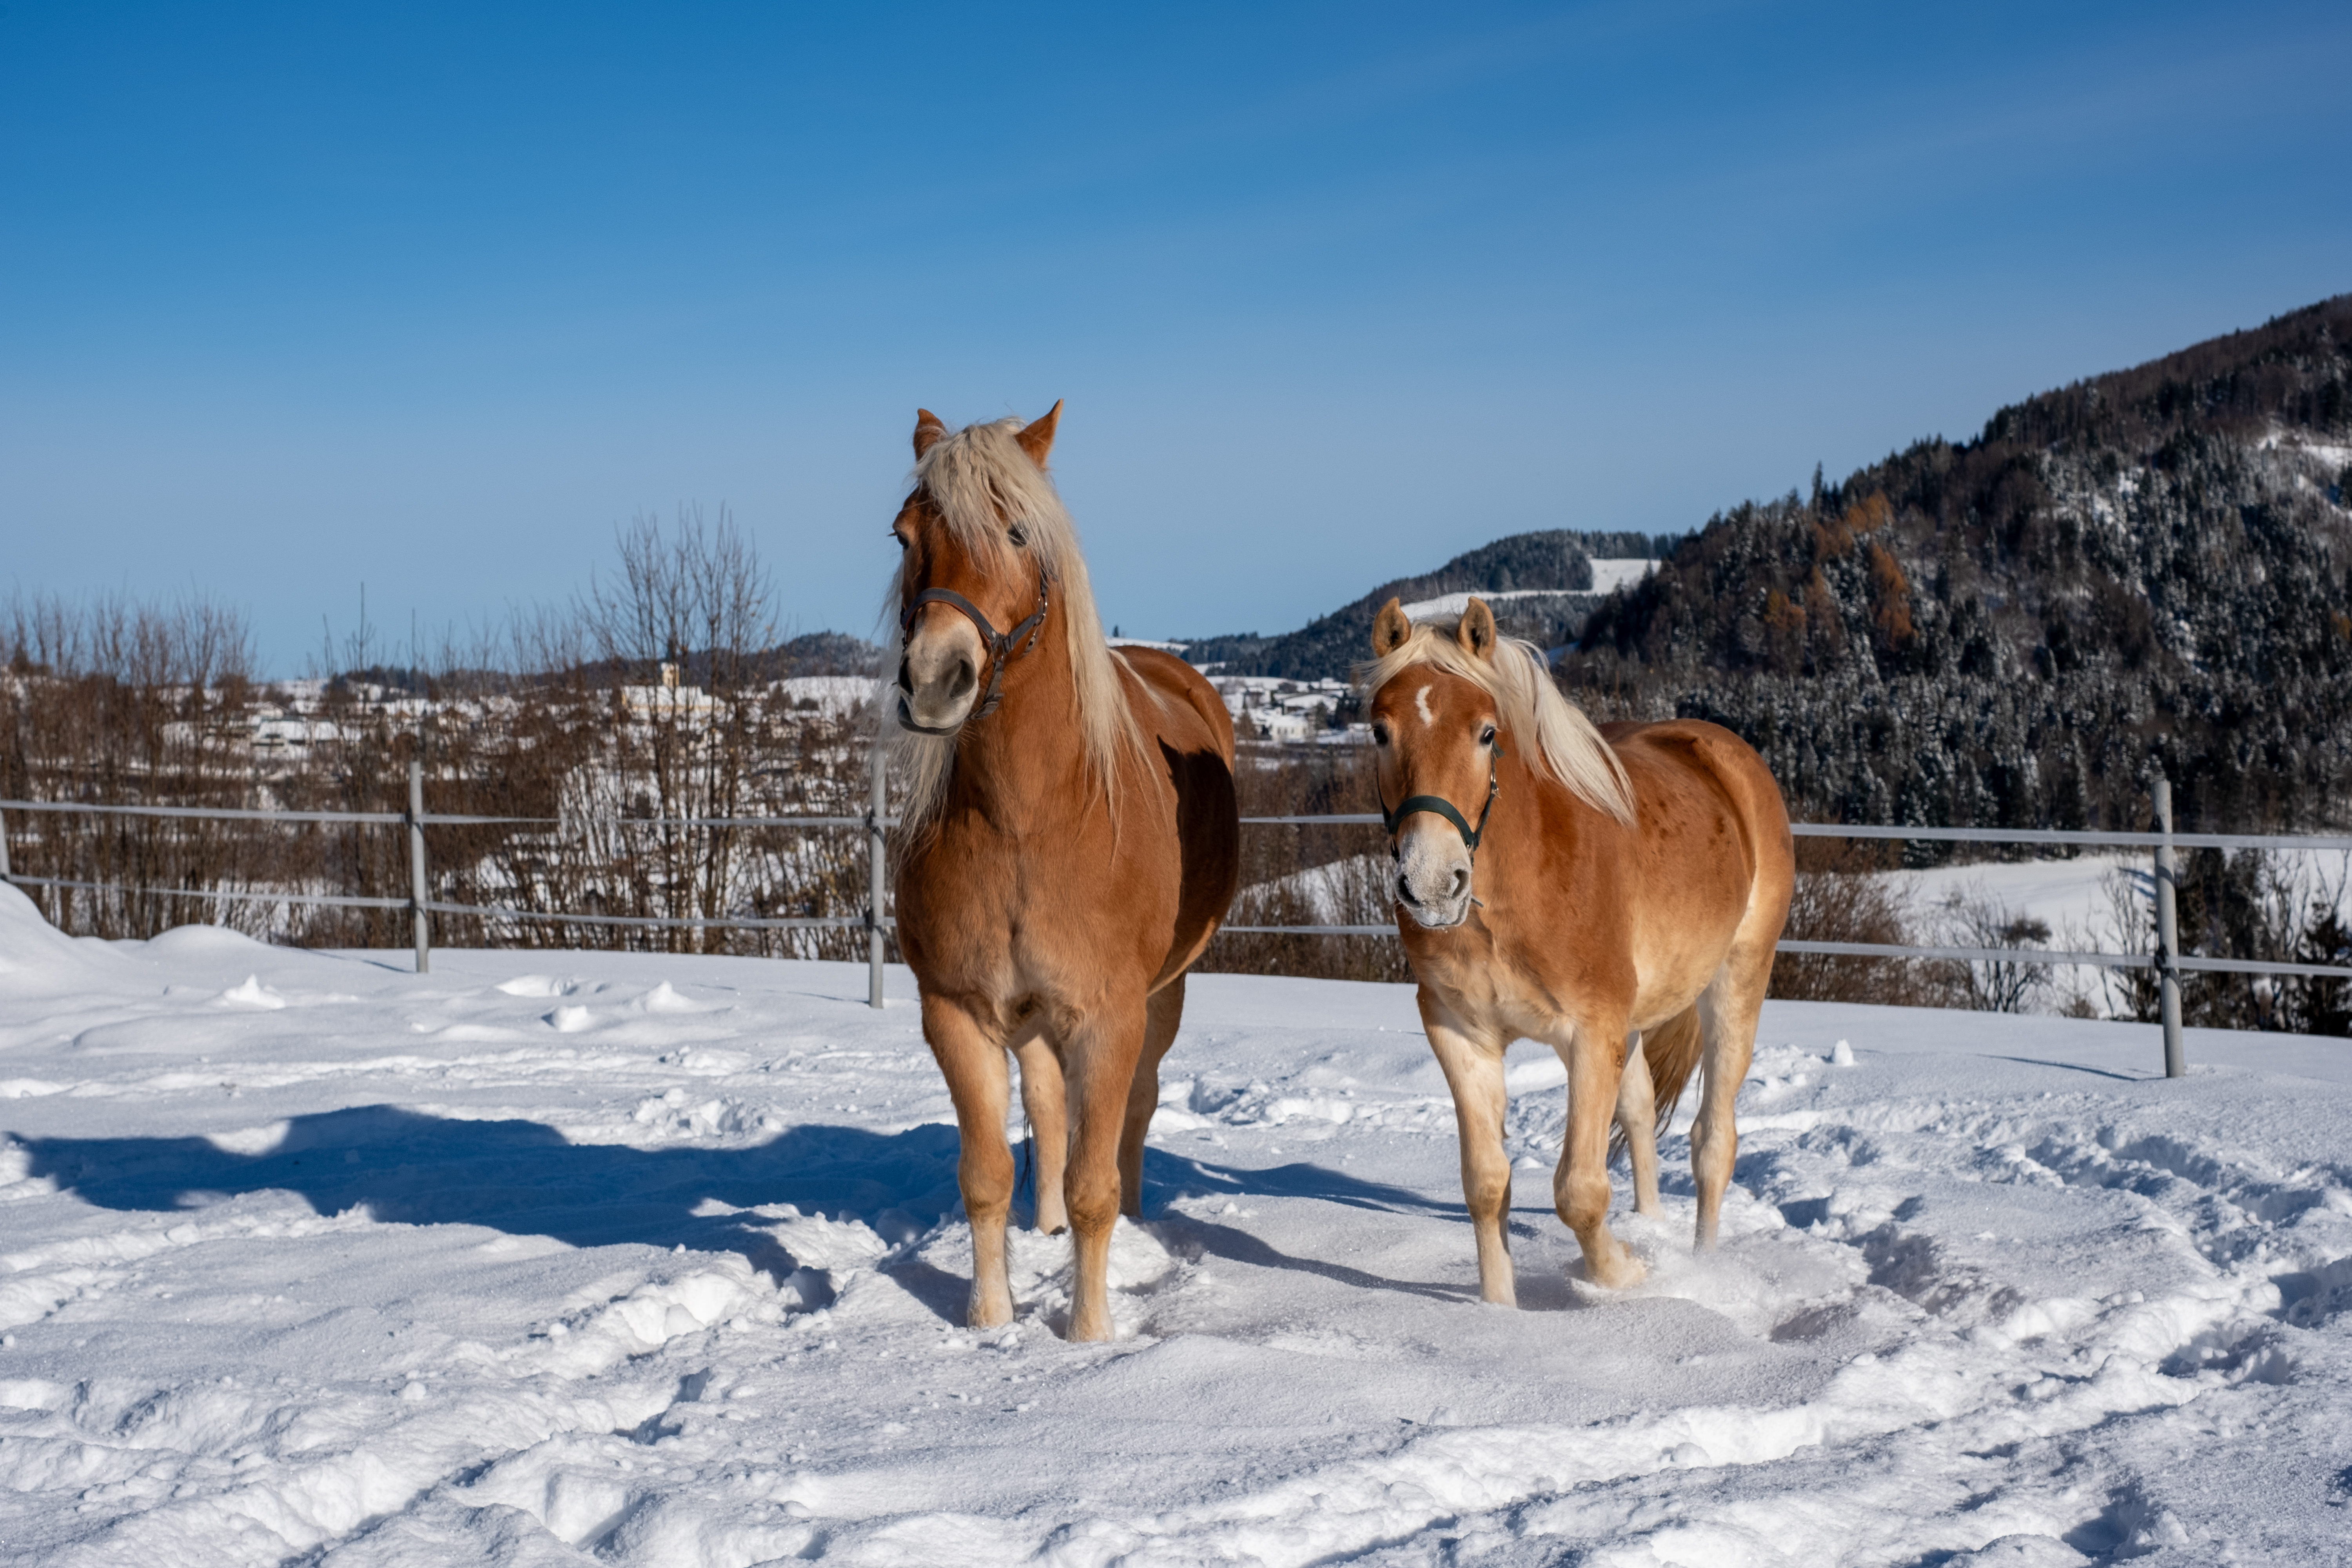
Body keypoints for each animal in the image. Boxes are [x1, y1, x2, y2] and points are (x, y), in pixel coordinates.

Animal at [881, 403, 1239, 1342]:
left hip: (1160, 998)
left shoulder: (1110, 1016)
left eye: (1015, 530)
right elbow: (987, 1175)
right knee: (1047, 1109)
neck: (1029, 819)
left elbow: (1093, 1184)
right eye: (904, 536)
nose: (935, 682)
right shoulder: (958, 1013)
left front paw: (1088, 1335)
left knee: (1133, 1114)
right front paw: (989, 1319)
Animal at [1359, 595, 1792, 1302]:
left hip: (1737, 981)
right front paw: (1498, 1311)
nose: (1432, 882)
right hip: (1638, 1019)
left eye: (1486, 733)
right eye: (1380, 732)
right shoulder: (1461, 1033)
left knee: (1712, 1143)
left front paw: (1623, 1276)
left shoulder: (1590, 1033)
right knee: (1641, 1115)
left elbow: (1579, 1193)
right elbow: (1487, 1186)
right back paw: (1653, 1229)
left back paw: (1700, 1267)